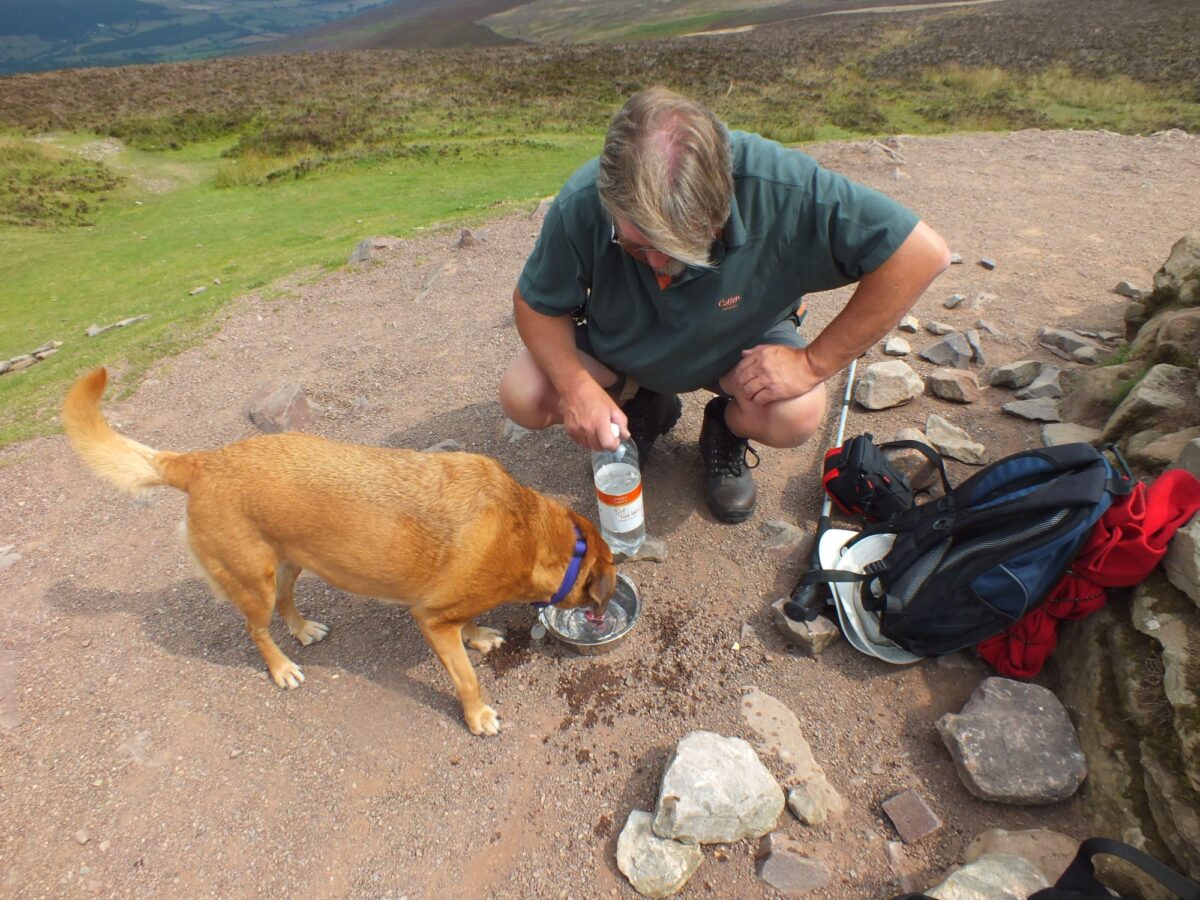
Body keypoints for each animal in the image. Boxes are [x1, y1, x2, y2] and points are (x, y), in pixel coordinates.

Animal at [60, 369, 614, 734]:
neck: (536, 533)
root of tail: (202, 462)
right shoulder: (432, 619)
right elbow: (466, 679)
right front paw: (477, 716)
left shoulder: (453, 608)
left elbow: (472, 624)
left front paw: (478, 637)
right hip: (254, 582)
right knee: (257, 629)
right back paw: (281, 668)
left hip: (291, 564)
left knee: (287, 604)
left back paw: (303, 629)